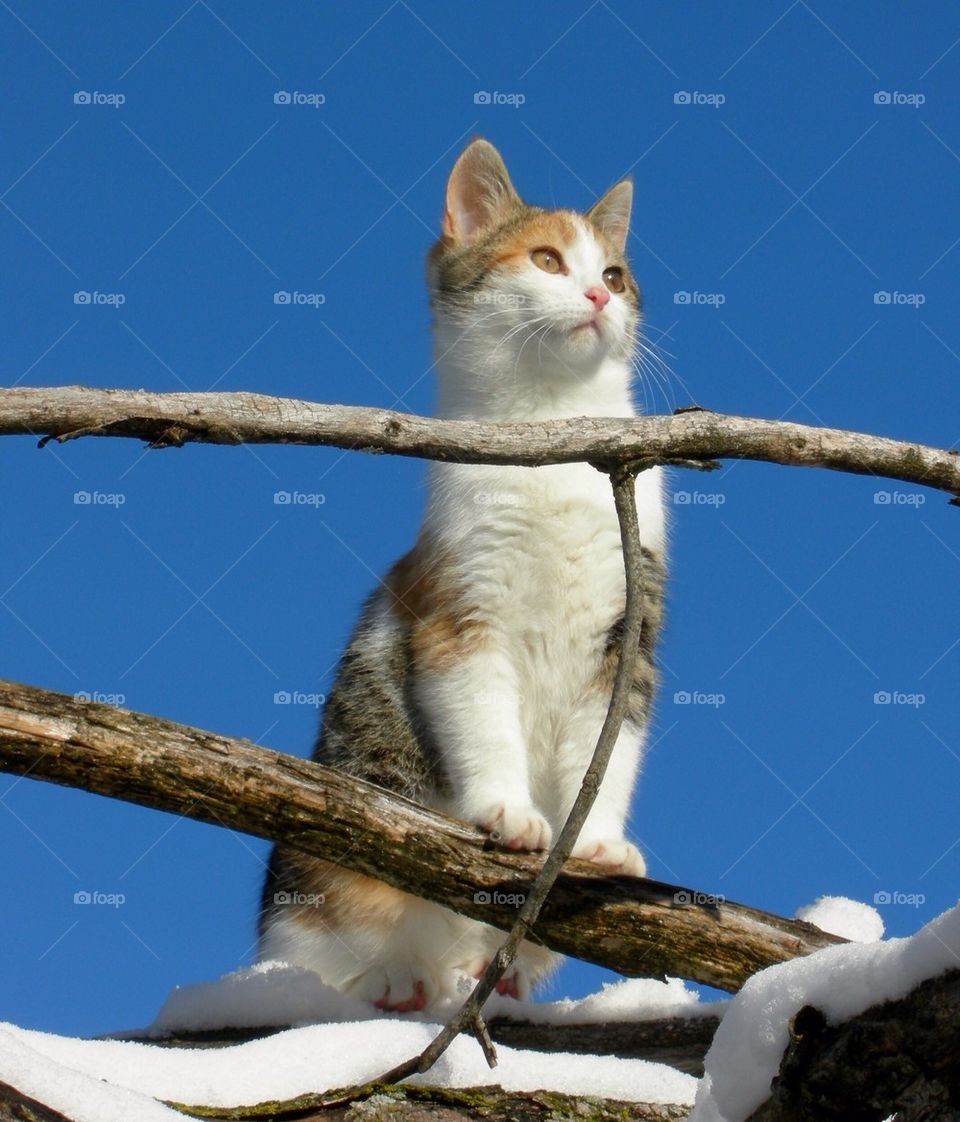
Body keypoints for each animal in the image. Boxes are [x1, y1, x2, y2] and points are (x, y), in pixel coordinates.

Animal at [260, 135, 668, 1014]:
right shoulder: (458, 612)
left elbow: (611, 744)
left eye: (615, 272)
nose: (598, 293)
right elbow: (480, 714)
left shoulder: (631, 625)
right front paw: (509, 811)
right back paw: (396, 977)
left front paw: (600, 843)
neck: (554, 427)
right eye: (546, 259)